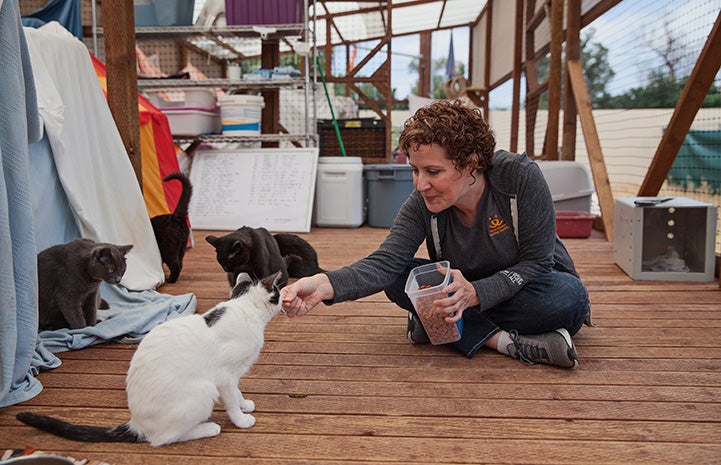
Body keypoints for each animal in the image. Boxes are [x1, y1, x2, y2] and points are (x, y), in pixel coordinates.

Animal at [16, 272, 282, 446]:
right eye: (278, 292)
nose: (283, 294)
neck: (245, 309)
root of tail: (137, 423)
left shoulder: (234, 375)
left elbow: (237, 393)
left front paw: (244, 404)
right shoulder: (224, 376)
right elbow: (231, 401)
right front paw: (241, 419)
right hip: (203, 391)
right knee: (163, 439)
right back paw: (208, 427)